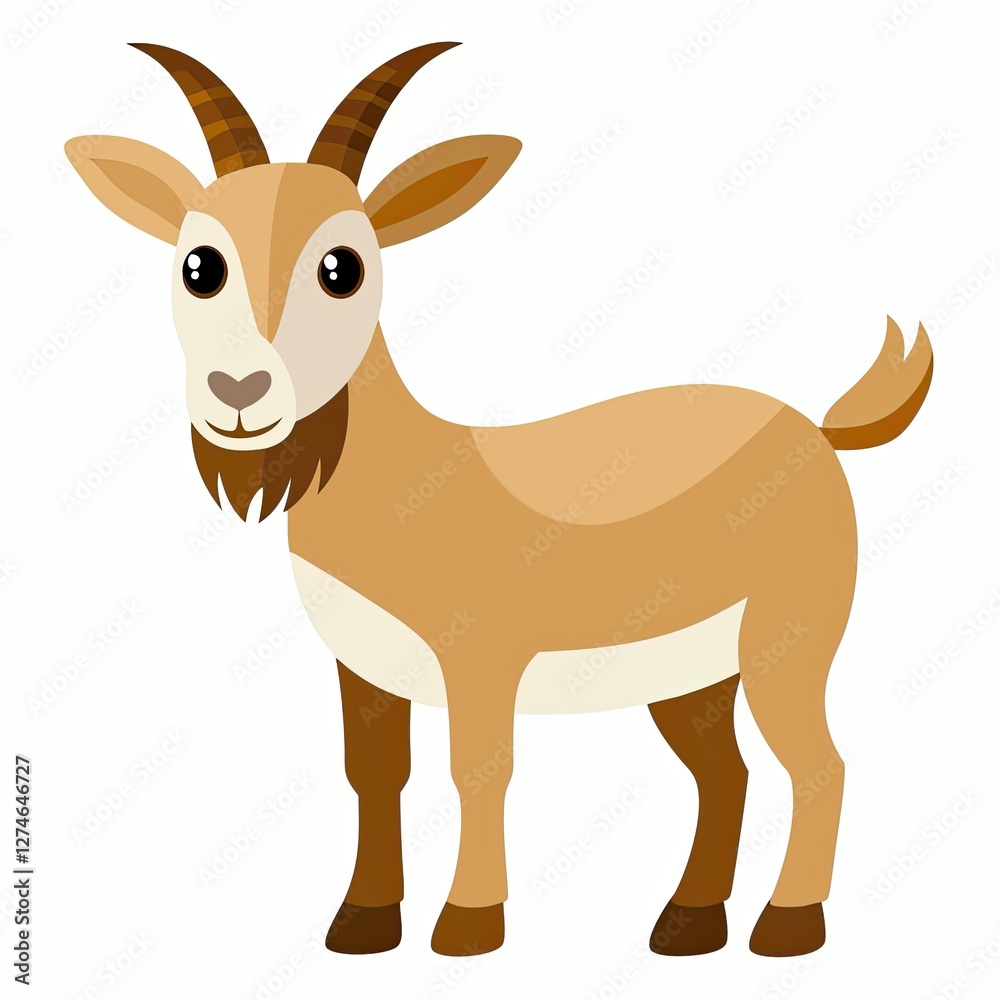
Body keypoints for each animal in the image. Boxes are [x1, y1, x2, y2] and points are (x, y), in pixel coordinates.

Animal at [66, 41, 933, 958]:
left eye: (343, 266)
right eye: (200, 264)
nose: (239, 390)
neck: (403, 482)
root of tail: (819, 428)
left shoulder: (480, 662)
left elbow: (477, 769)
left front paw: (468, 923)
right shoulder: (365, 667)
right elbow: (376, 773)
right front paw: (363, 922)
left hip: (787, 644)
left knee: (819, 763)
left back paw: (787, 926)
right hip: (693, 673)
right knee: (723, 772)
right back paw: (688, 924)